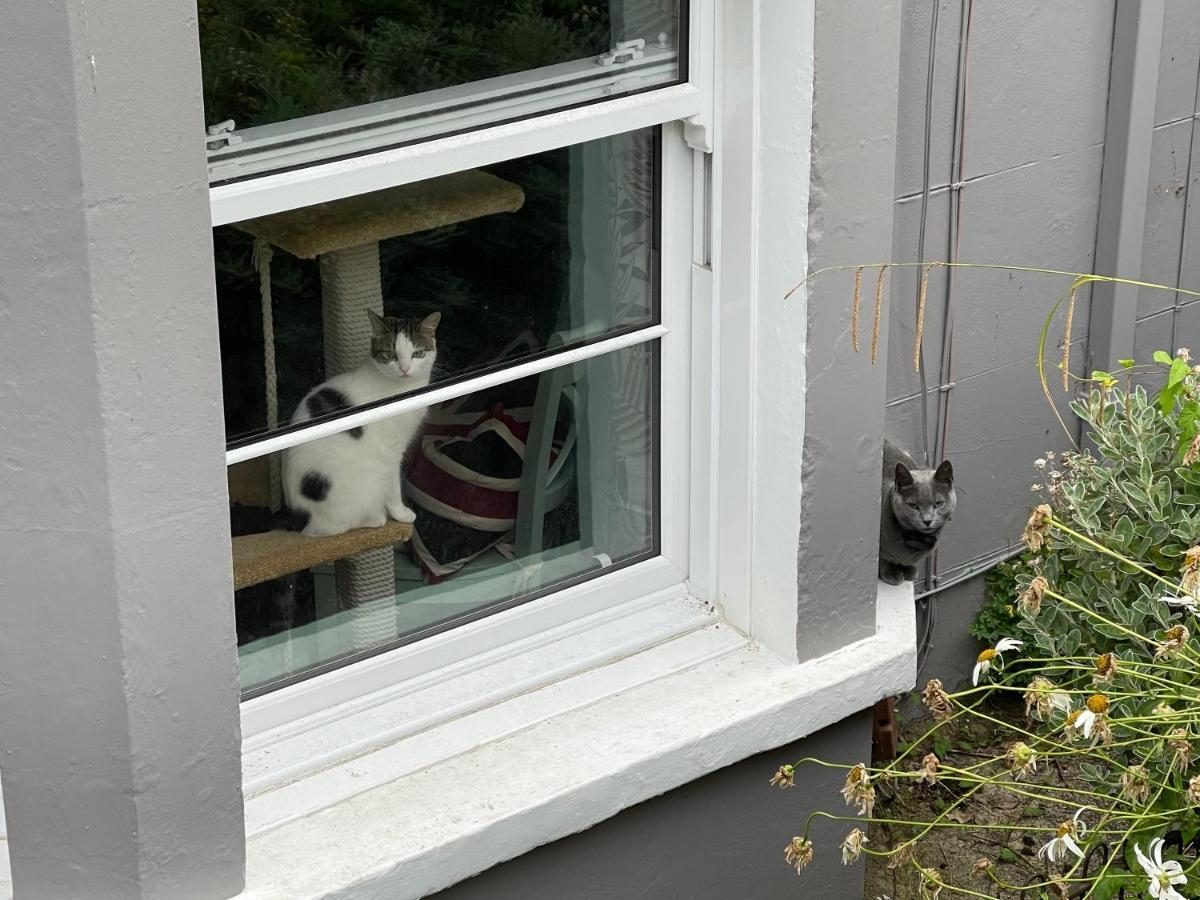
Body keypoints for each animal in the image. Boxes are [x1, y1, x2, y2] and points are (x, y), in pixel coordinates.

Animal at [282, 312, 441, 535]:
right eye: (390, 354)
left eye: (417, 353)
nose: (404, 368)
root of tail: (297, 516)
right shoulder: (390, 452)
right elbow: (393, 487)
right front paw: (401, 514)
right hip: (364, 482)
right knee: (330, 528)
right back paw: (375, 518)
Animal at [873, 441, 955, 588]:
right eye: (913, 506)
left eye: (938, 504)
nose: (927, 520)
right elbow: (883, 558)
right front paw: (891, 573)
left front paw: (910, 570)